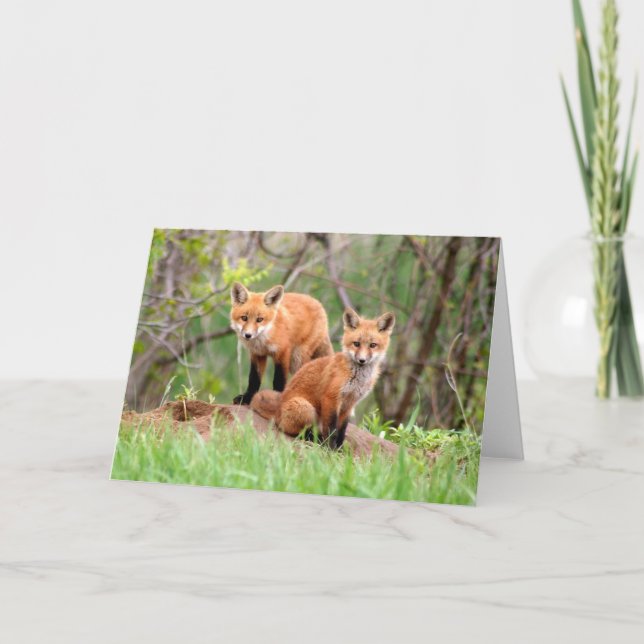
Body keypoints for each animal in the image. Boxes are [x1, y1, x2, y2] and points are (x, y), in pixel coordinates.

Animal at [250, 307, 395, 449]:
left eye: (373, 345)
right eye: (356, 344)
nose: (362, 360)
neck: (356, 378)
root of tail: (277, 410)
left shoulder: (349, 404)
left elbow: (342, 430)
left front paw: (338, 449)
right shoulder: (331, 398)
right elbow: (331, 430)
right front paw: (330, 448)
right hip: (305, 408)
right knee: (291, 430)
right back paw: (315, 439)